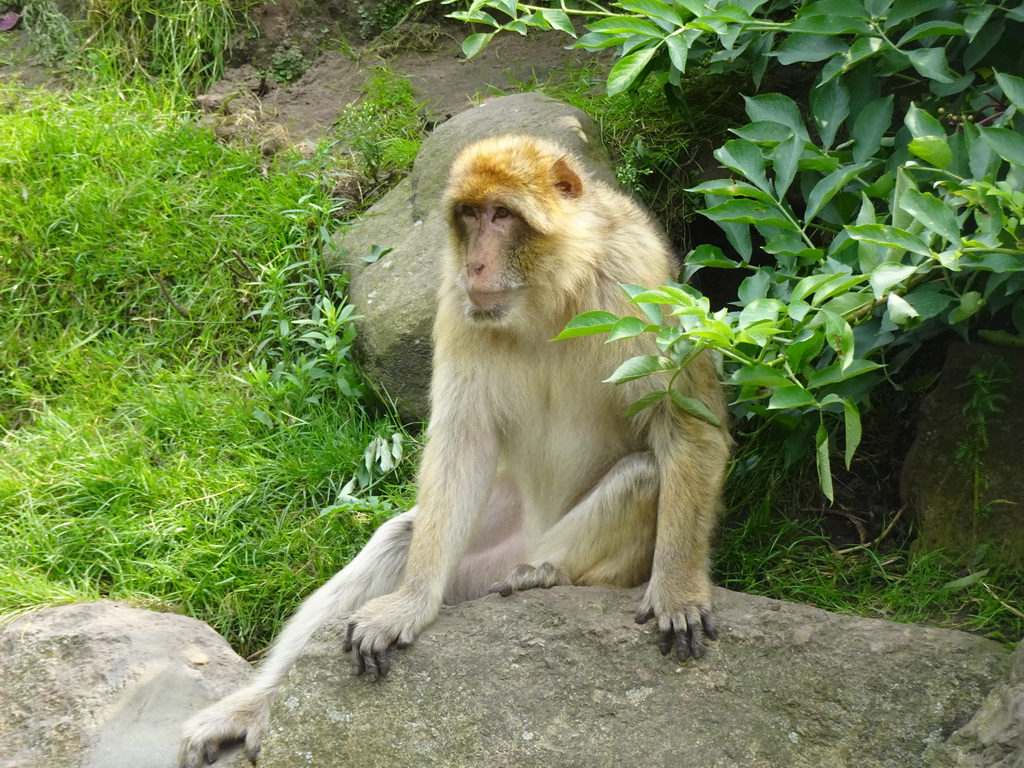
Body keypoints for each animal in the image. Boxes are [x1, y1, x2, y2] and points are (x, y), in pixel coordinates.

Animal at [180, 135, 733, 765]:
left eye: (502, 215)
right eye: (469, 215)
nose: (475, 264)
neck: (553, 292)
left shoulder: (639, 289)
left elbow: (688, 425)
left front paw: (678, 590)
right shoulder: (457, 303)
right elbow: (460, 446)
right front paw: (410, 604)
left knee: (645, 474)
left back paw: (543, 574)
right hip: (477, 559)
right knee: (401, 535)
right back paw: (260, 705)